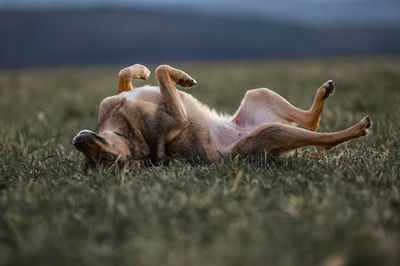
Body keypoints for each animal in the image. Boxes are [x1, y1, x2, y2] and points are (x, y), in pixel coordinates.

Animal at [72, 64, 372, 168]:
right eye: (105, 160)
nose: (78, 141)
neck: (122, 132)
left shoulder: (121, 95)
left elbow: (128, 75)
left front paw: (146, 71)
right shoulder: (177, 120)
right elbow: (160, 70)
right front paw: (179, 77)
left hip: (259, 94)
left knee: (311, 119)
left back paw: (324, 92)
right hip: (271, 132)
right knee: (324, 137)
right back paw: (357, 128)